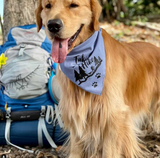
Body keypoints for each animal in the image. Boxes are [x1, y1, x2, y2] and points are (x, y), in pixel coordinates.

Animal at [35, 0, 160, 157]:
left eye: (73, 5)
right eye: (48, 6)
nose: (53, 25)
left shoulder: (113, 115)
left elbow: (109, 151)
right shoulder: (74, 111)